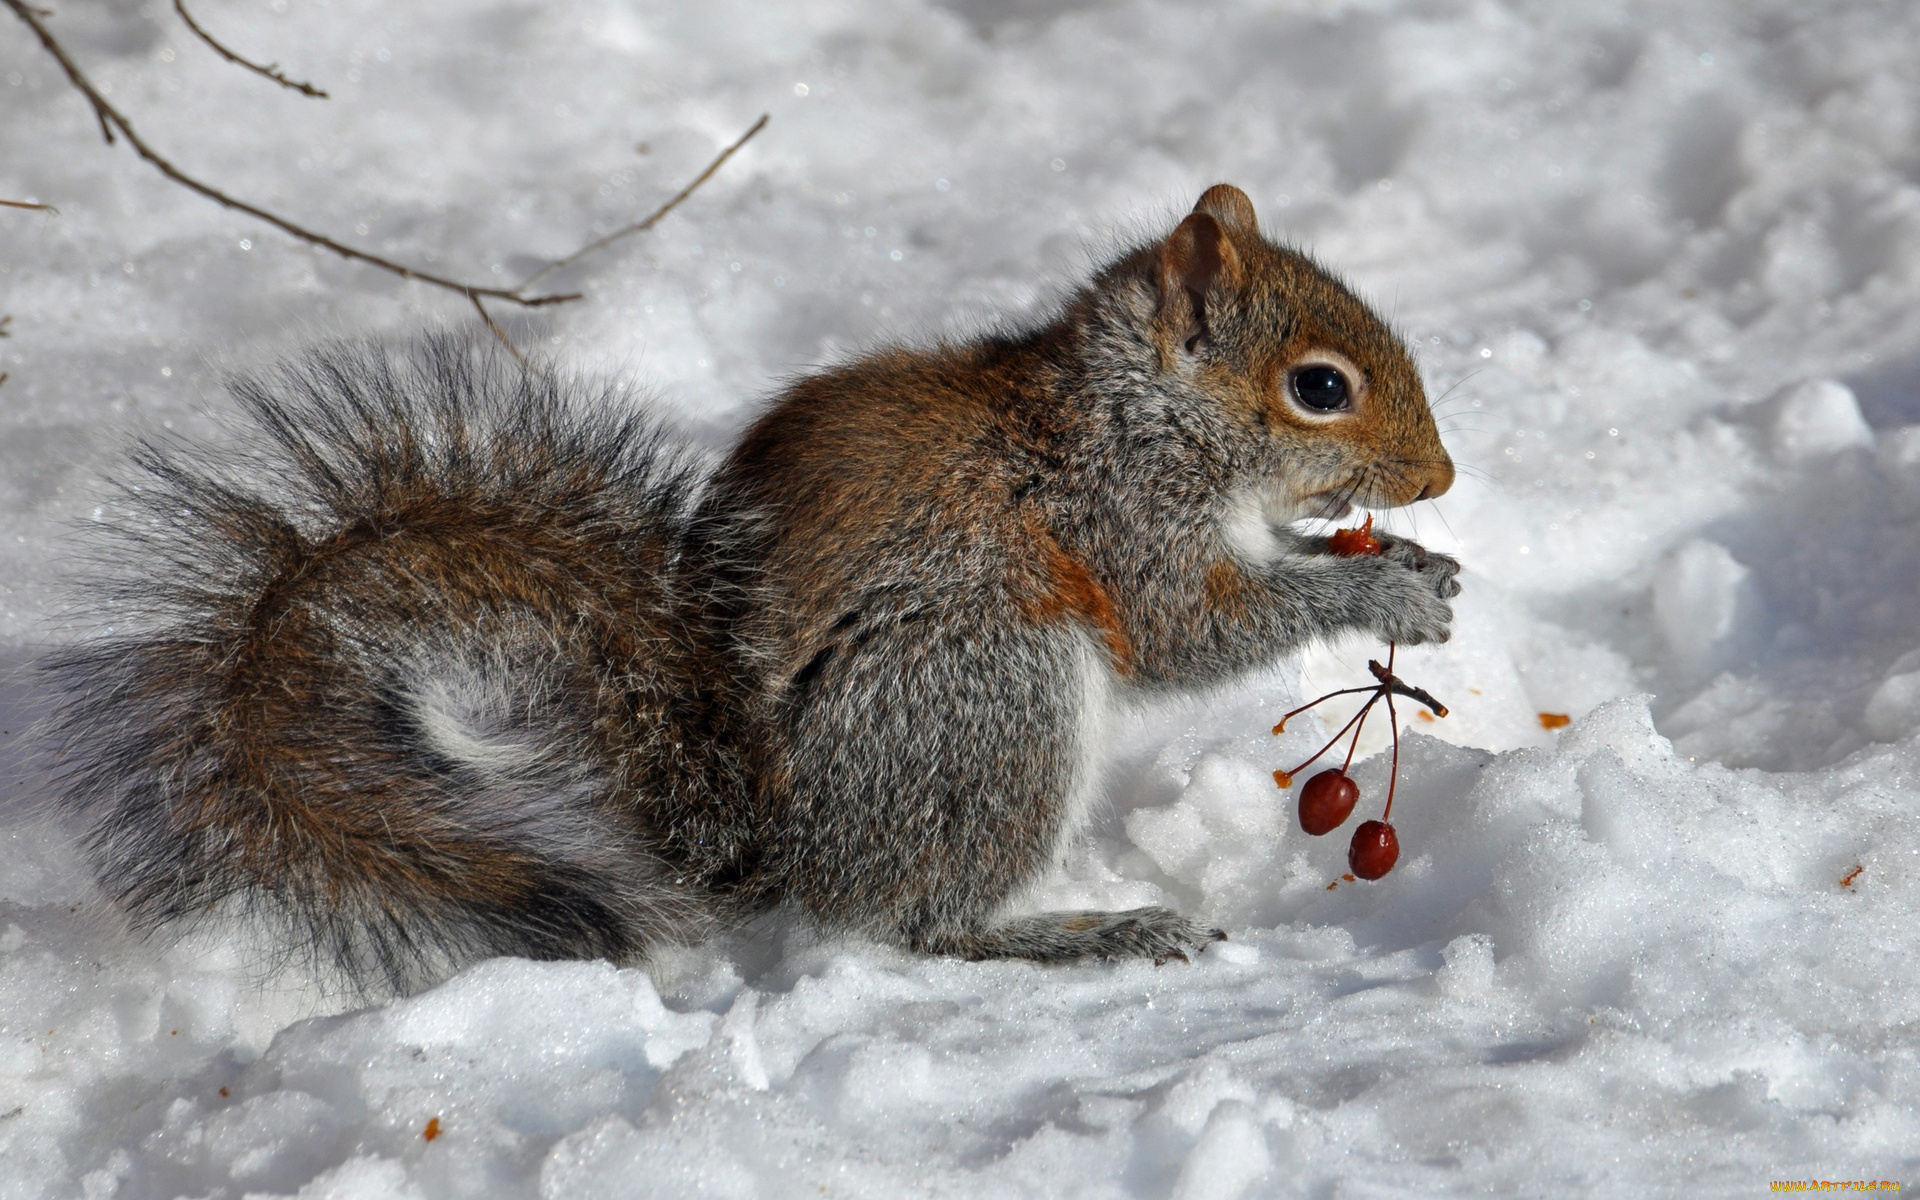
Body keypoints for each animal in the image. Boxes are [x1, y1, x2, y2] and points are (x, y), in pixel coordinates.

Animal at [41, 185, 1451, 990]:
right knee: (915, 920)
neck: (1135, 411)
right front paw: (1379, 598)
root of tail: (780, 841)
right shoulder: (1114, 520)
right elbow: (1186, 630)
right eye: (1319, 387)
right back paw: (1080, 934)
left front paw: (1414, 567)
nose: (1438, 478)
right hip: (991, 690)